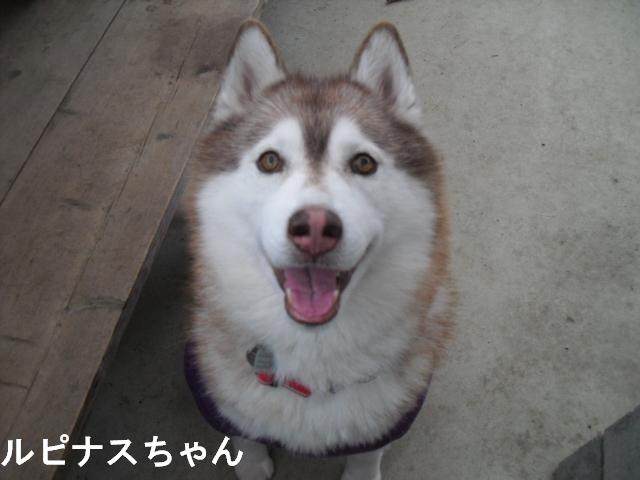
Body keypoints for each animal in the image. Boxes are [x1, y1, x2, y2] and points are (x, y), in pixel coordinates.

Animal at [185, 19, 454, 480]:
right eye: (270, 160)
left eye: (363, 162)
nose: (313, 228)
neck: (312, 352)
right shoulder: (211, 390)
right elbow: (242, 430)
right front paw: (251, 464)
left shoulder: (395, 413)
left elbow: (368, 448)